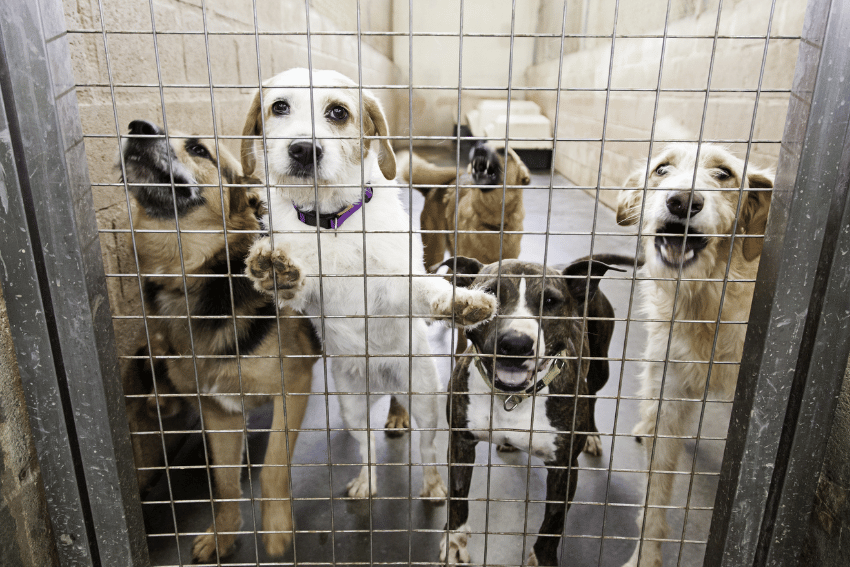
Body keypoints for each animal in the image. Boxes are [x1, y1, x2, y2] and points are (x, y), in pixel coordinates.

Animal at [124, 121, 322, 564]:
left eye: (199, 149)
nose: (137, 128)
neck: (192, 276)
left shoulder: (294, 384)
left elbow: (274, 467)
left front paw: (277, 528)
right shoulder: (219, 410)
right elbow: (225, 482)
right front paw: (223, 533)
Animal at [238, 70, 494, 502]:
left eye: (338, 112)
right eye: (279, 107)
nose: (303, 150)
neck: (334, 222)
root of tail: (379, 382)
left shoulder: (395, 284)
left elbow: (427, 292)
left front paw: (460, 302)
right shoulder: (310, 292)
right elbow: (295, 282)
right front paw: (275, 271)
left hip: (425, 401)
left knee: (427, 449)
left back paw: (432, 483)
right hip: (352, 407)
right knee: (368, 447)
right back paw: (366, 481)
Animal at [438, 255, 628, 564]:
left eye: (550, 301)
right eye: (489, 294)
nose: (516, 344)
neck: (513, 398)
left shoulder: (564, 467)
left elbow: (554, 521)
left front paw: (543, 557)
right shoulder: (460, 443)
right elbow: (457, 496)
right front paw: (454, 542)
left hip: (602, 367)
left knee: (593, 394)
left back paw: (592, 435)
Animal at [612, 143, 772, 567]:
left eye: (724, 174)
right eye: (661, 169)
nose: (683, 201)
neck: (705, 300)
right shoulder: (669, 392)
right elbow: (655, 492)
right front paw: (646, 555)